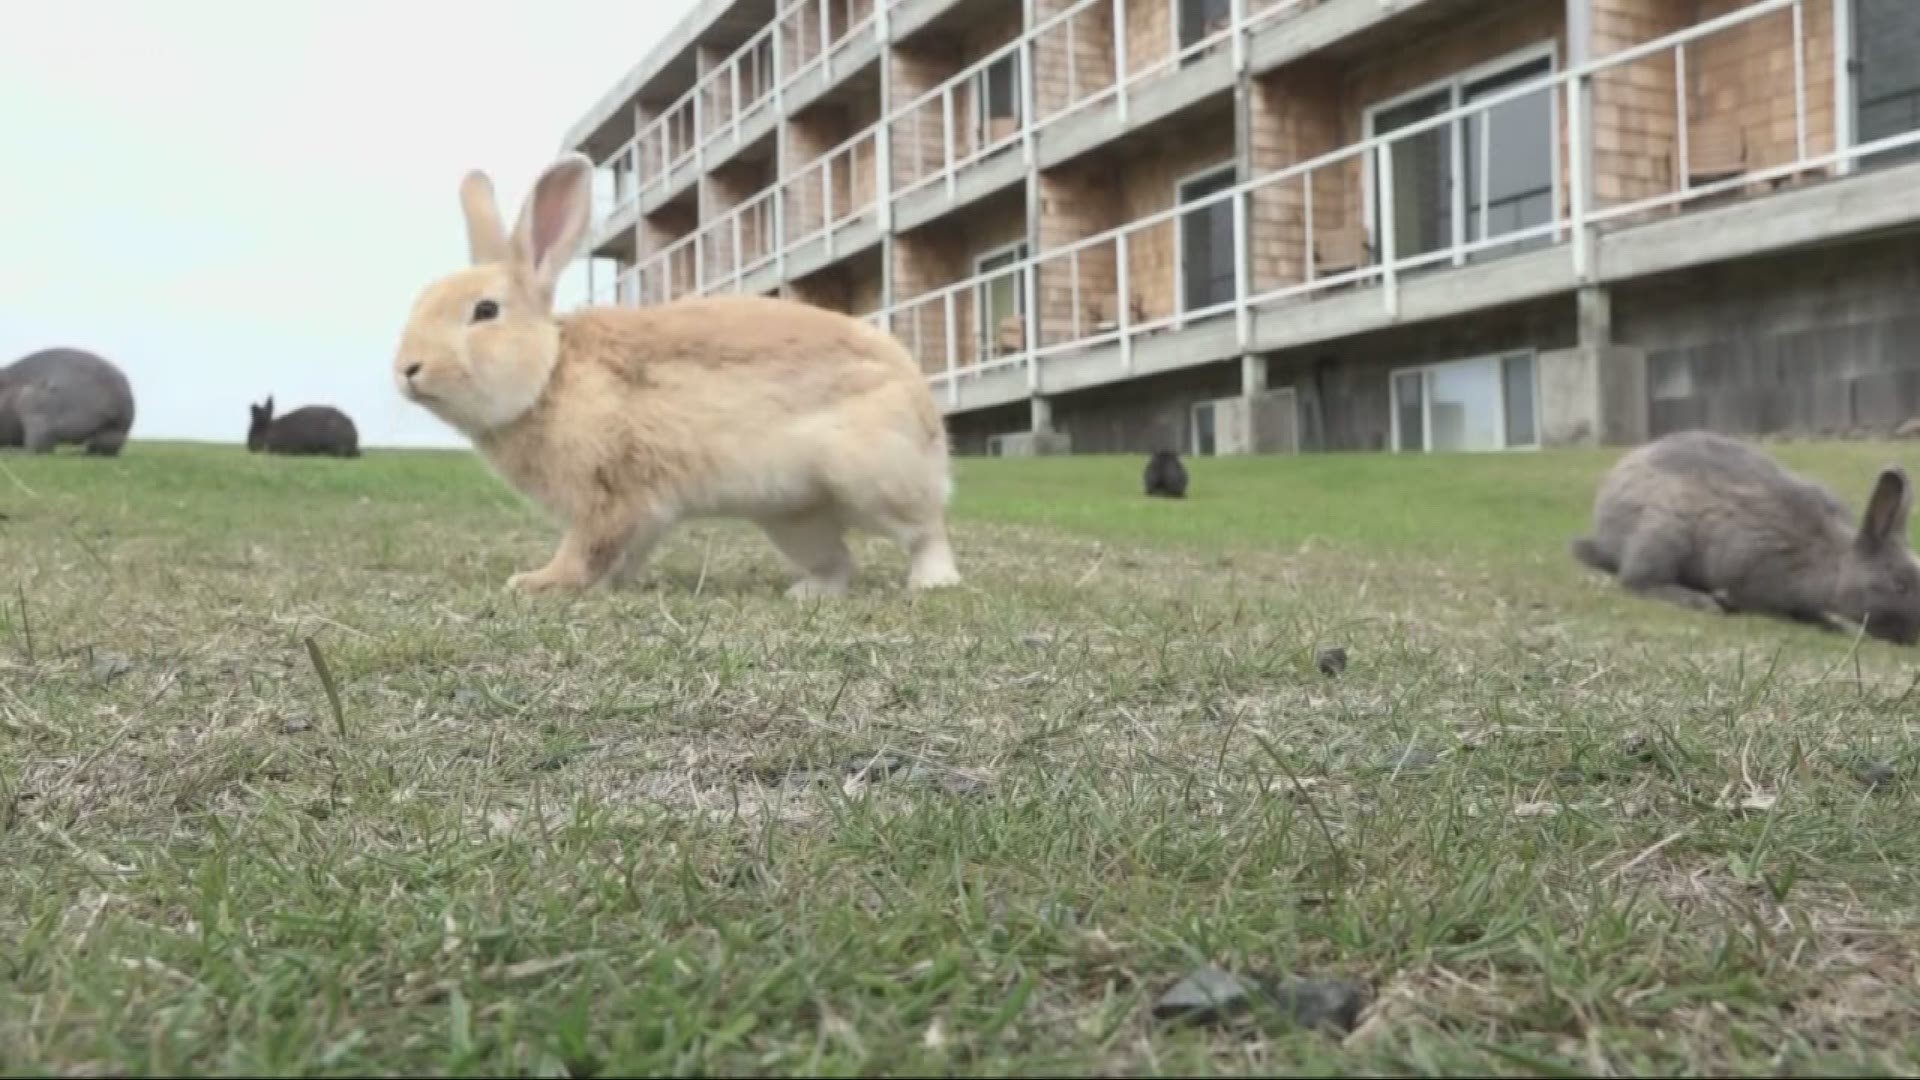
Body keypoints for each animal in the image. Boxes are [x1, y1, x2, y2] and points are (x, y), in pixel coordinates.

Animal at [389, 152, 960, 595]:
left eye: (485, 311)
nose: (406, 370)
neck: (550, 374)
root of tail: (925, 410)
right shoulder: (642, 510)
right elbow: (625, 553)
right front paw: (609, 587)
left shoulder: (607, 495)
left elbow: (586, 548)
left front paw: (537, 582)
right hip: (793, 517)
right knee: (839, 562)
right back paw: (807, 593)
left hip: (875, 480)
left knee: (927, 530)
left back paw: (933, 581)